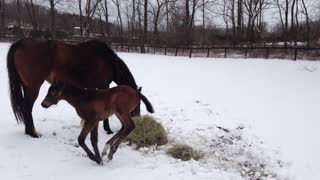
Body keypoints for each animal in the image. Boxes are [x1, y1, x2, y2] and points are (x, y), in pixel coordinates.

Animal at [6, 38, 139, 138]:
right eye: (138, 103)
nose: (136, 117)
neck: (107, 59)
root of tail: (20, 43)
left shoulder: (92, 87)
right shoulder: (103, 85)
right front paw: (108, 130)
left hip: (26, 86)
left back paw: (28, 132)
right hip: (34, 87)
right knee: (27, 107)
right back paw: (33, 133)